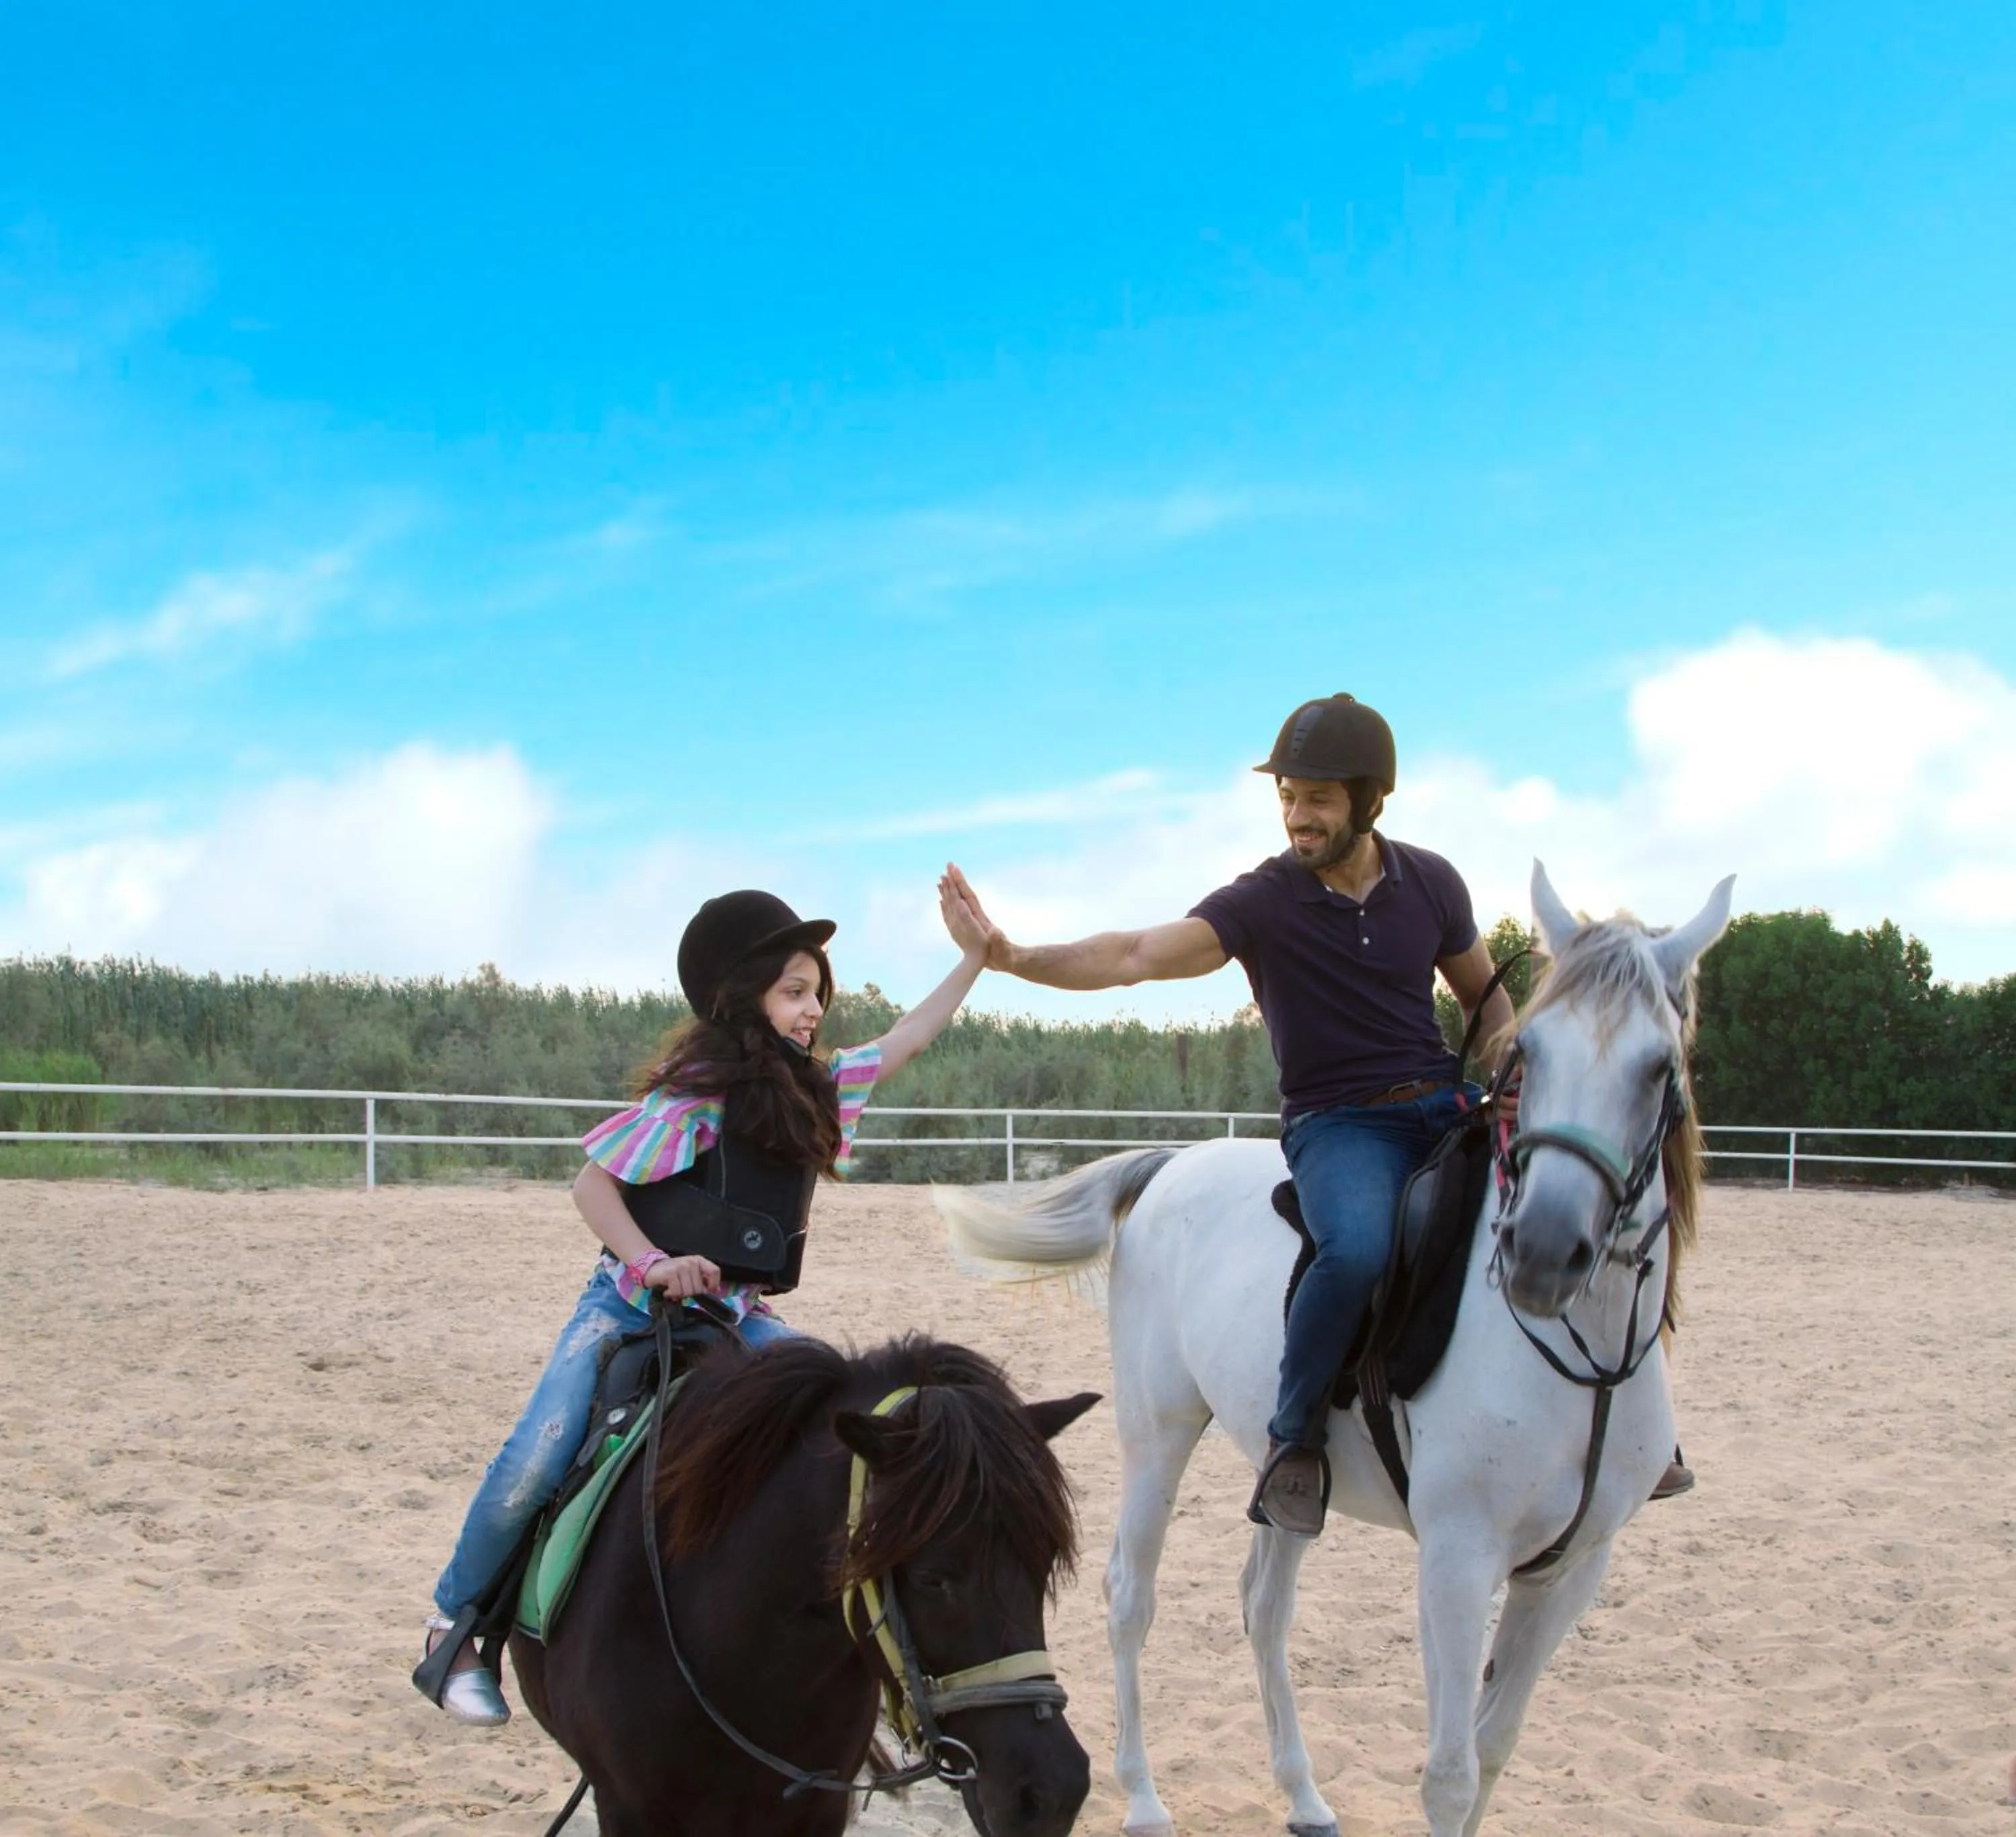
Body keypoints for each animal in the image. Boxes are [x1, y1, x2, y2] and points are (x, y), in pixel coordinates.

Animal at [937, 864, 1734, 1837]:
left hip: (1283, 1466)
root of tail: (1170, 1165)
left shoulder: (1573, 1569)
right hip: (1157, 1431)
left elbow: (1494, 1750)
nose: (1543, 1251)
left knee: (1264, 1605)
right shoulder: (1458, 1559)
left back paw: (1305, 1795)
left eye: (1659, 1068)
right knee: (1131, 1596)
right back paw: (1146, 1798)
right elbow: (1450, 1772)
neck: (1571, 1362)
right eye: (1532, 1054)